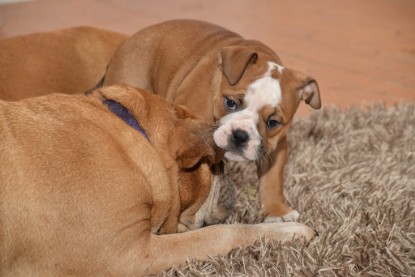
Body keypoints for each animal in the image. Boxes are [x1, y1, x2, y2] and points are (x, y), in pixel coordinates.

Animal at [0, 85, 316, 274]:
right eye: (219, 166)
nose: (231, 187)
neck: (138, 136)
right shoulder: (130, 256)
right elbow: (223, 233)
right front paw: (292, 232)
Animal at [103, 18, 322, 222]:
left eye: (272, 122)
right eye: (231, 103)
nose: (240, 135)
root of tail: (129, 41)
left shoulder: (275, 147)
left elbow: (272, 180)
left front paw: (277, 212)